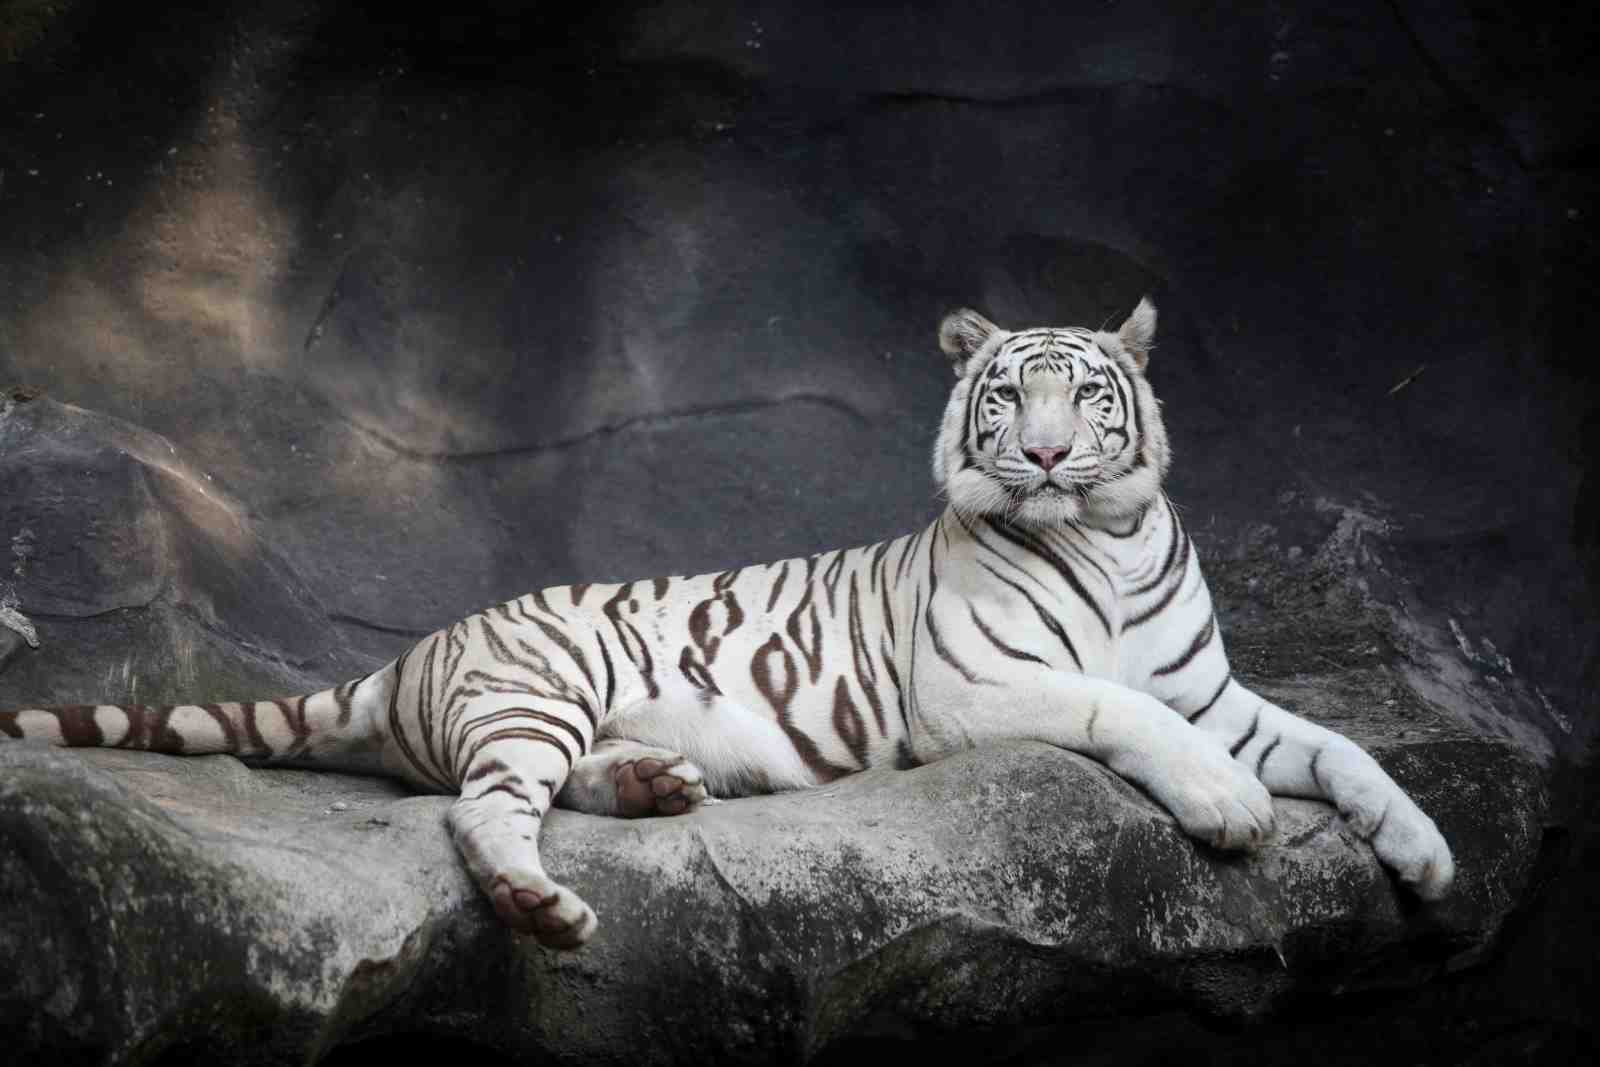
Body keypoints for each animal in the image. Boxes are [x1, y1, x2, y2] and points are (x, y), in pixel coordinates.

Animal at [0, 298, 1454, 950]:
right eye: (1007, 398)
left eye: (1086, 398)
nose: (1044, 456)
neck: (1105, 529)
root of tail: (407, 655)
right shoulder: (978, 687)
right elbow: (1123, 707)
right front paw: (1231, 809)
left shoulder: (1211, 687)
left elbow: (1338, 747)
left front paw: (1428, 854)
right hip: (535, 690)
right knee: (478, 813)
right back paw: (543, 900)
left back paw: (657, 783)